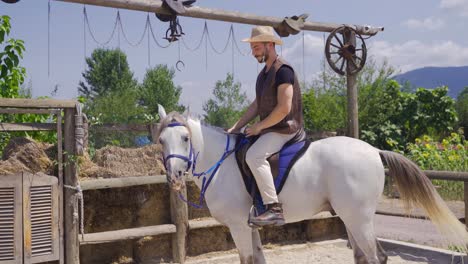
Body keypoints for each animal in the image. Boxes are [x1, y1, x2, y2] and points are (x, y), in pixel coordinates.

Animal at [157, 105, 468, 264]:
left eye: (185, 138)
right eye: (161, 140)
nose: (175, 176)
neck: (221, 163)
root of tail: (374, 151)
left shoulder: (237, 226)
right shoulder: (249, 225)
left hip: (358, 217)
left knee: (376, 257)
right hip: (350, 217)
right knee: (362, 256)